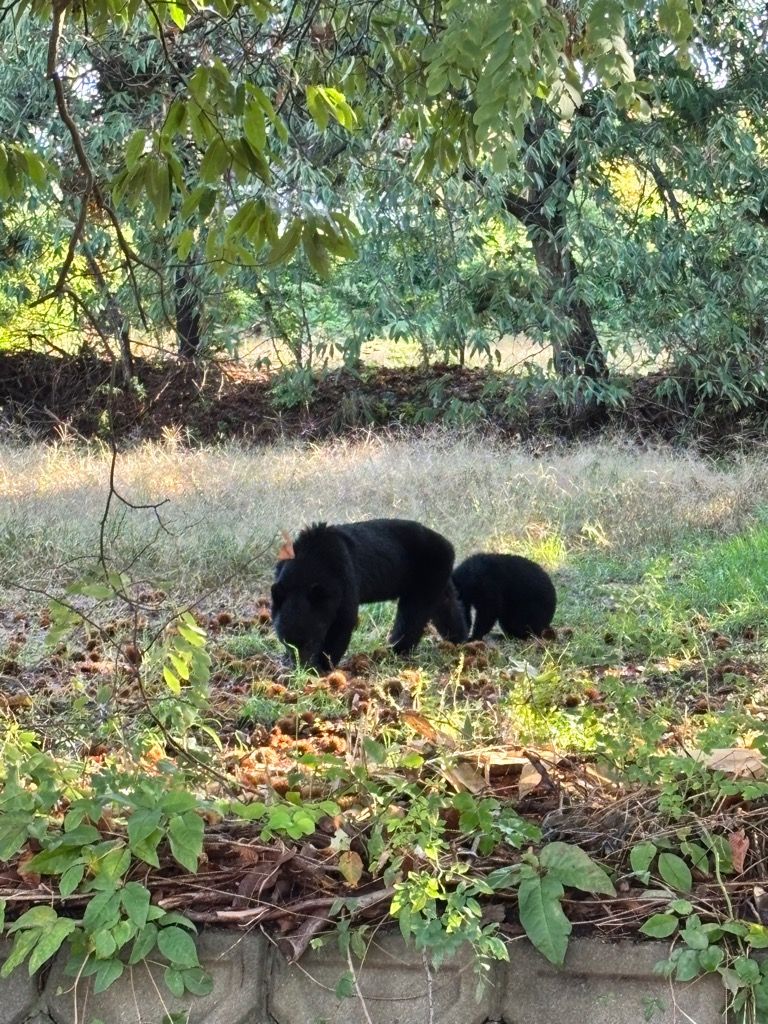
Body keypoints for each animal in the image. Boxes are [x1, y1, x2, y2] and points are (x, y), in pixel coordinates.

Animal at [271, 518, 468, 670]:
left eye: (310, 641)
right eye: (286, 642)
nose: (300, 667)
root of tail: (449, 545)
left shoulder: (343, 578)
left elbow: (343, 622)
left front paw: (323, 665)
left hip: (426, 574)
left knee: (413, 613)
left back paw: (396, 649)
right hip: (437, 578)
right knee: (446, 604)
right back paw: (459, 638)